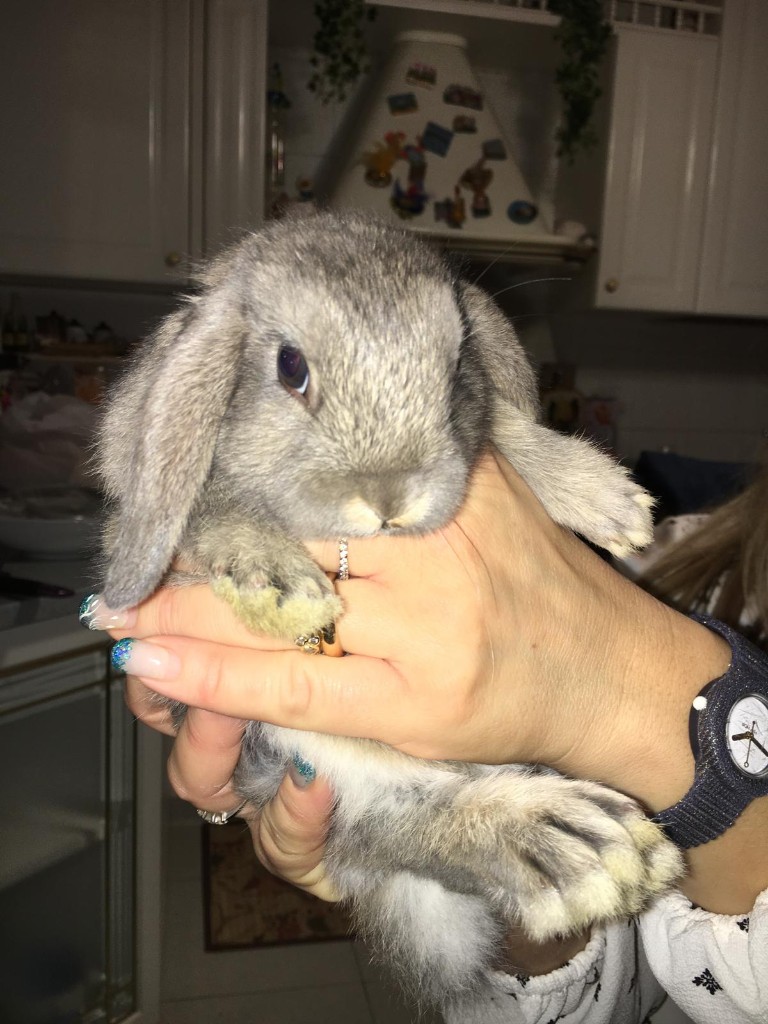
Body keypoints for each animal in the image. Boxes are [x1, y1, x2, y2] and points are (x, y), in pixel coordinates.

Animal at [97, 211, 683, 1011]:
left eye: (458, 366)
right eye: (290, 367)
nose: (390, 499)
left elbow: (503, 430)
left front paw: (609, 501)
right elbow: (207, 509)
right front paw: (277, 587)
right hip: (310, 752)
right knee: (389, 826)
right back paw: (573, 853)